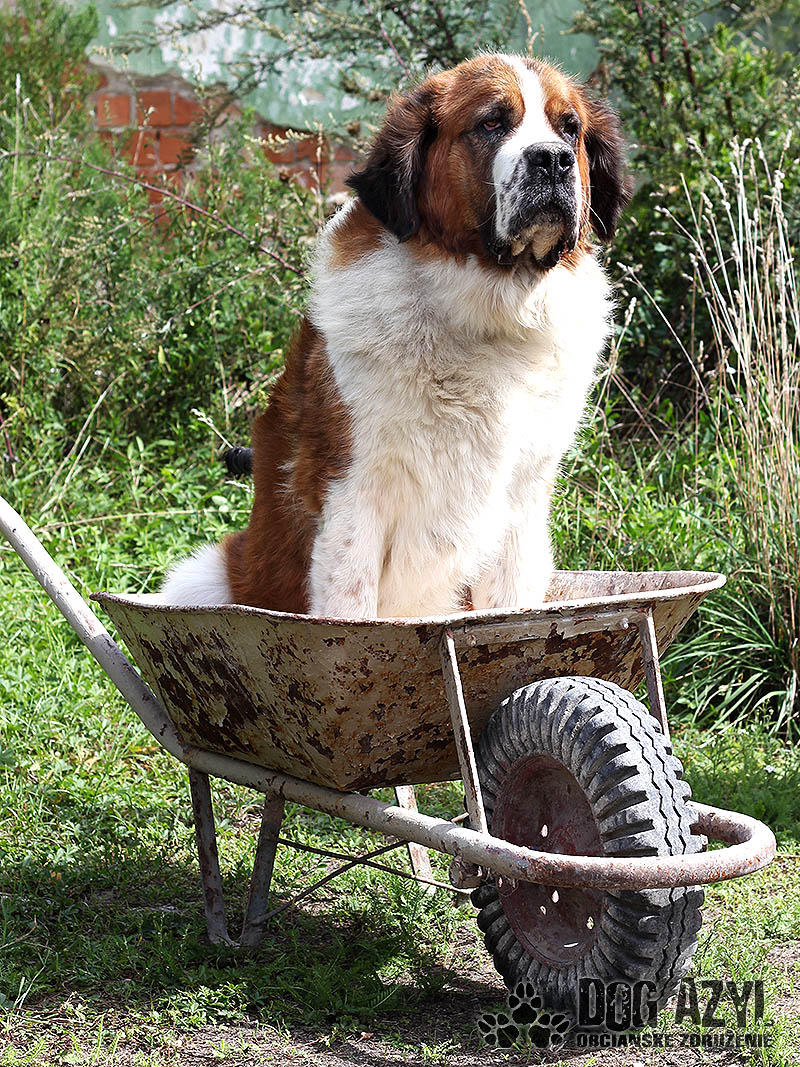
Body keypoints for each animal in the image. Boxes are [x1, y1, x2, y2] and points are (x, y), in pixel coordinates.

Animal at [161, 53, 629, 618]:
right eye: (492, 124)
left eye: (570, 129)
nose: (553, 160)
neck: (486, 312)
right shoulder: (352, 493)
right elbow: (349, 611)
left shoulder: (521, 504)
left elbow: (511, 607)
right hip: (206, 576)